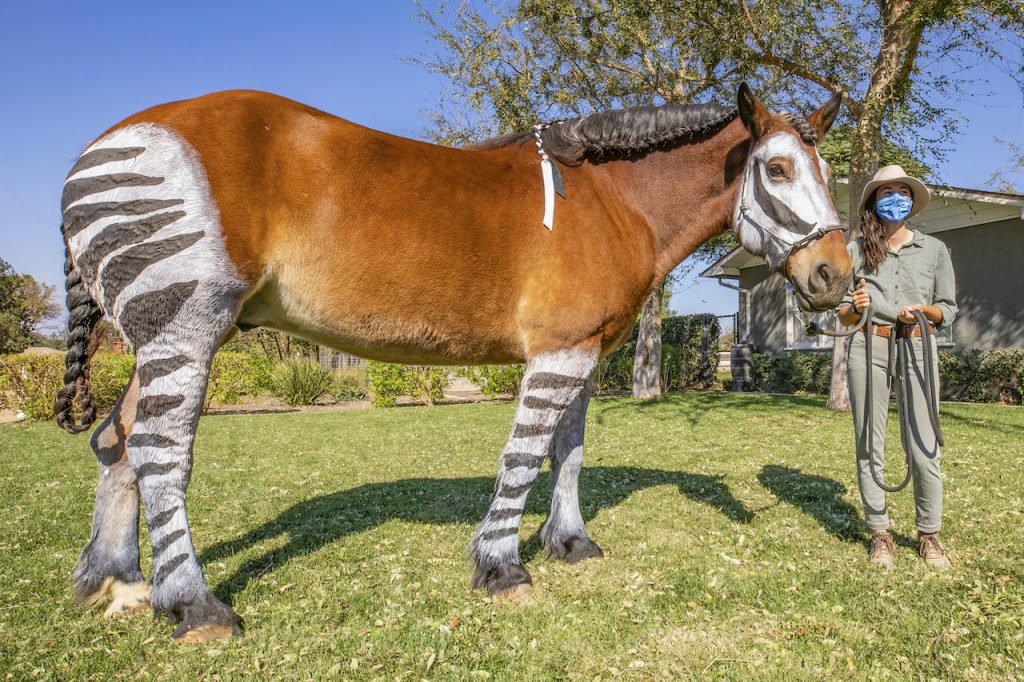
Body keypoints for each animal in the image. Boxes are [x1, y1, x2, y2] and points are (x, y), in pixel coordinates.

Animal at [58, 83, 856, 638]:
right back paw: (193, 604)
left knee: (115, 442)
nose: (837, 280)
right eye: (777, 169)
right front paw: (501, 567)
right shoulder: (557, 351)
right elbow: (525, 457)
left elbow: (569, 451)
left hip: (158, 339)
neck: (611, 200)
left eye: (824, 170)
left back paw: (116, 581)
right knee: (160, 451)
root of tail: (99, 148)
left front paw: (570, 543)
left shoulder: (584, 351)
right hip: (186, 326)